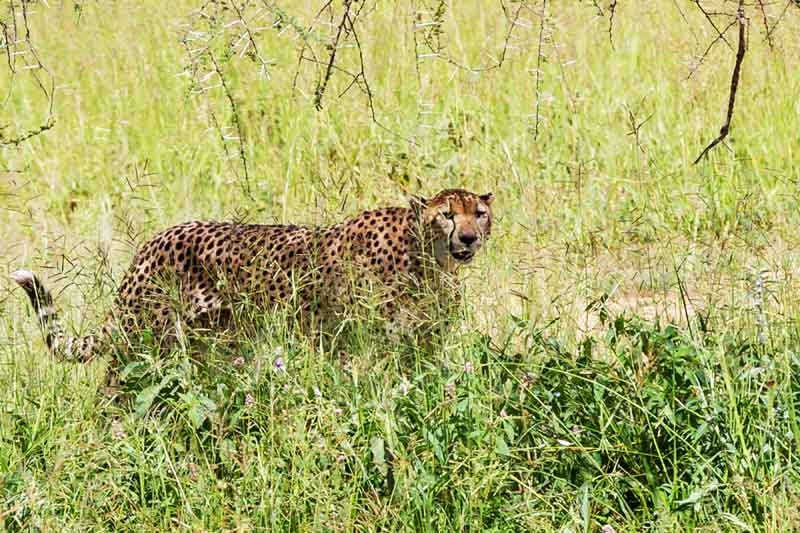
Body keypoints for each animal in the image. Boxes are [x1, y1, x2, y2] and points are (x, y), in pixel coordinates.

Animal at [12, 188, 494, 362]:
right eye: (447, 215)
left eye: (480, 213)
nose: (469, 238)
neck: (428, 260)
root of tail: (152, 242)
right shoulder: (350, 345)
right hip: (151, 342)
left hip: (215, 344)